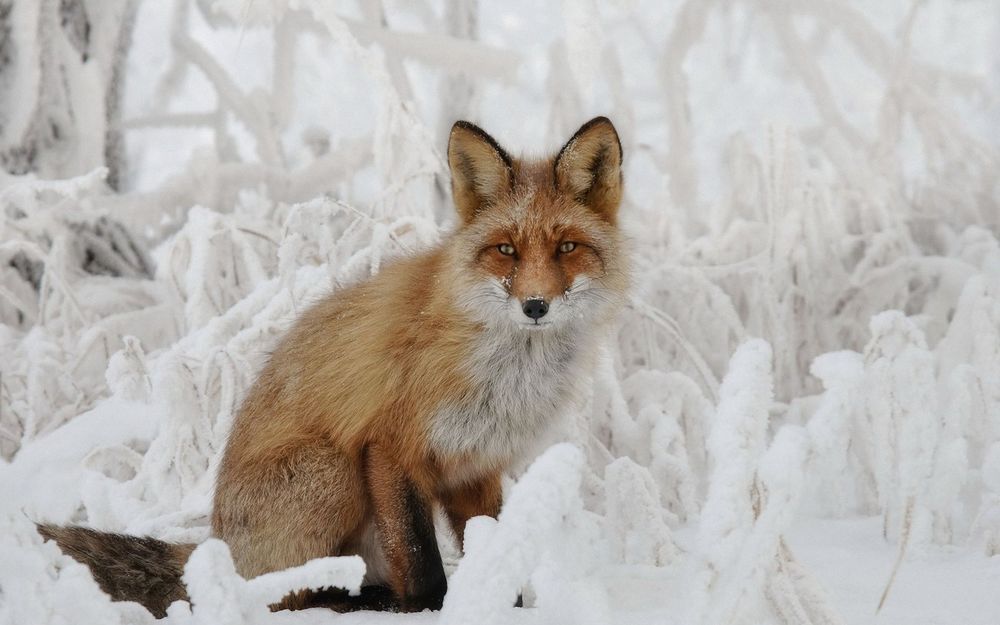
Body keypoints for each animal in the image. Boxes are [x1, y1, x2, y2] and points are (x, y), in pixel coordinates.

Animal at [37, 117, 629, 617]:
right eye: (506, 250)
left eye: (567, 247)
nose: (535, 306)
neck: (504, 374)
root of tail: (216, 544)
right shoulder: (390, 447)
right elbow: (422, 560)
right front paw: (430, 610)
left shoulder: (475, 467)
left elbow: (498, 549)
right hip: (335, 469)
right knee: (287, 595)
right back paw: (361, 601)